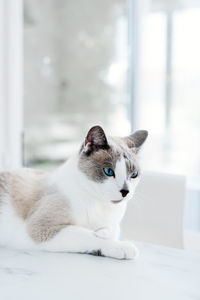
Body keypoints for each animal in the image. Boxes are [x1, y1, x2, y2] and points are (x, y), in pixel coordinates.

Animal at [0, 125, 147, 258]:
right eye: (109, 171)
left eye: (133, 175)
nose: (125, 191)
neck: (100, 204)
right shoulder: (42, 228)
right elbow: (90, 235)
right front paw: (122, 247)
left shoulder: (112, 224)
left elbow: (111, 230)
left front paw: (103, 232)